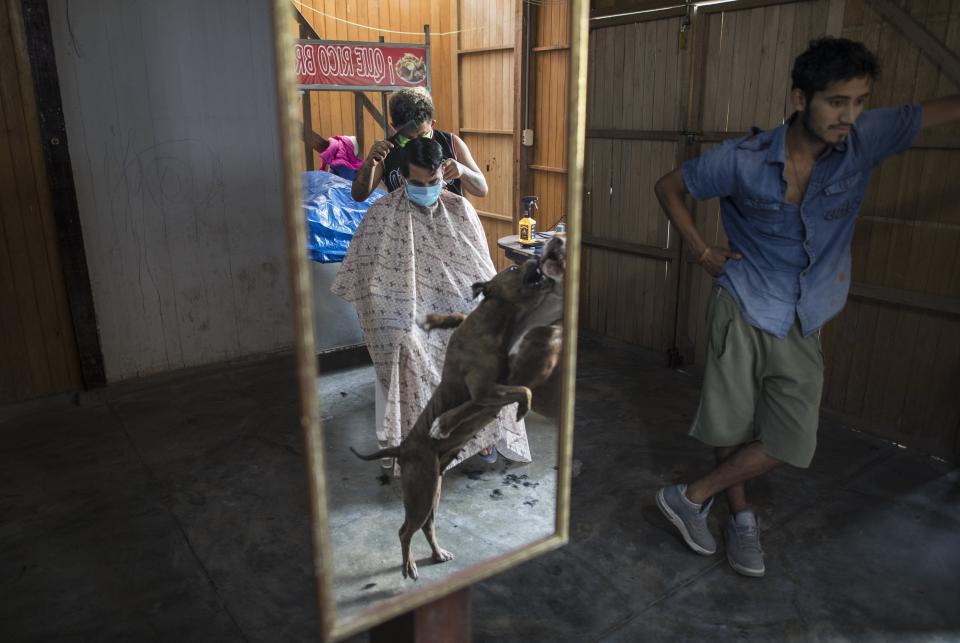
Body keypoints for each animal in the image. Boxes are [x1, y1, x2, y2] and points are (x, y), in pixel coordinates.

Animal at [350, 260, 556, 580]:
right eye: (512, 267)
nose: (535, 260)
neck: (495, 321)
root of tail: (402, 448)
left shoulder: (495, 385)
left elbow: (461, 318)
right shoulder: (484, 390)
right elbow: (514, 392)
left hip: (432, 492)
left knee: (426, 526)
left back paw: (437, 554)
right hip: (421, 493)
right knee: (405, 530)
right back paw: (408, 565)